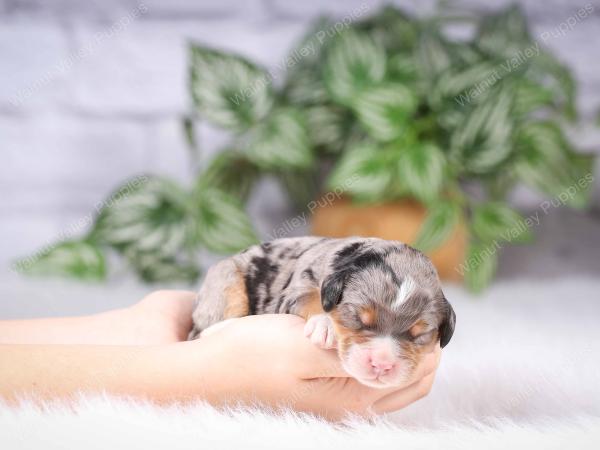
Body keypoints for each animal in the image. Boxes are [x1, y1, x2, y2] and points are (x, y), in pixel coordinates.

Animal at [190, 237, 458, 388]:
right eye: (358, 318)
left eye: (419, 335)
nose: (382, 364)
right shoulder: (294, 291)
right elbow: (311, 299)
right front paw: (325, 324)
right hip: (226, 281)